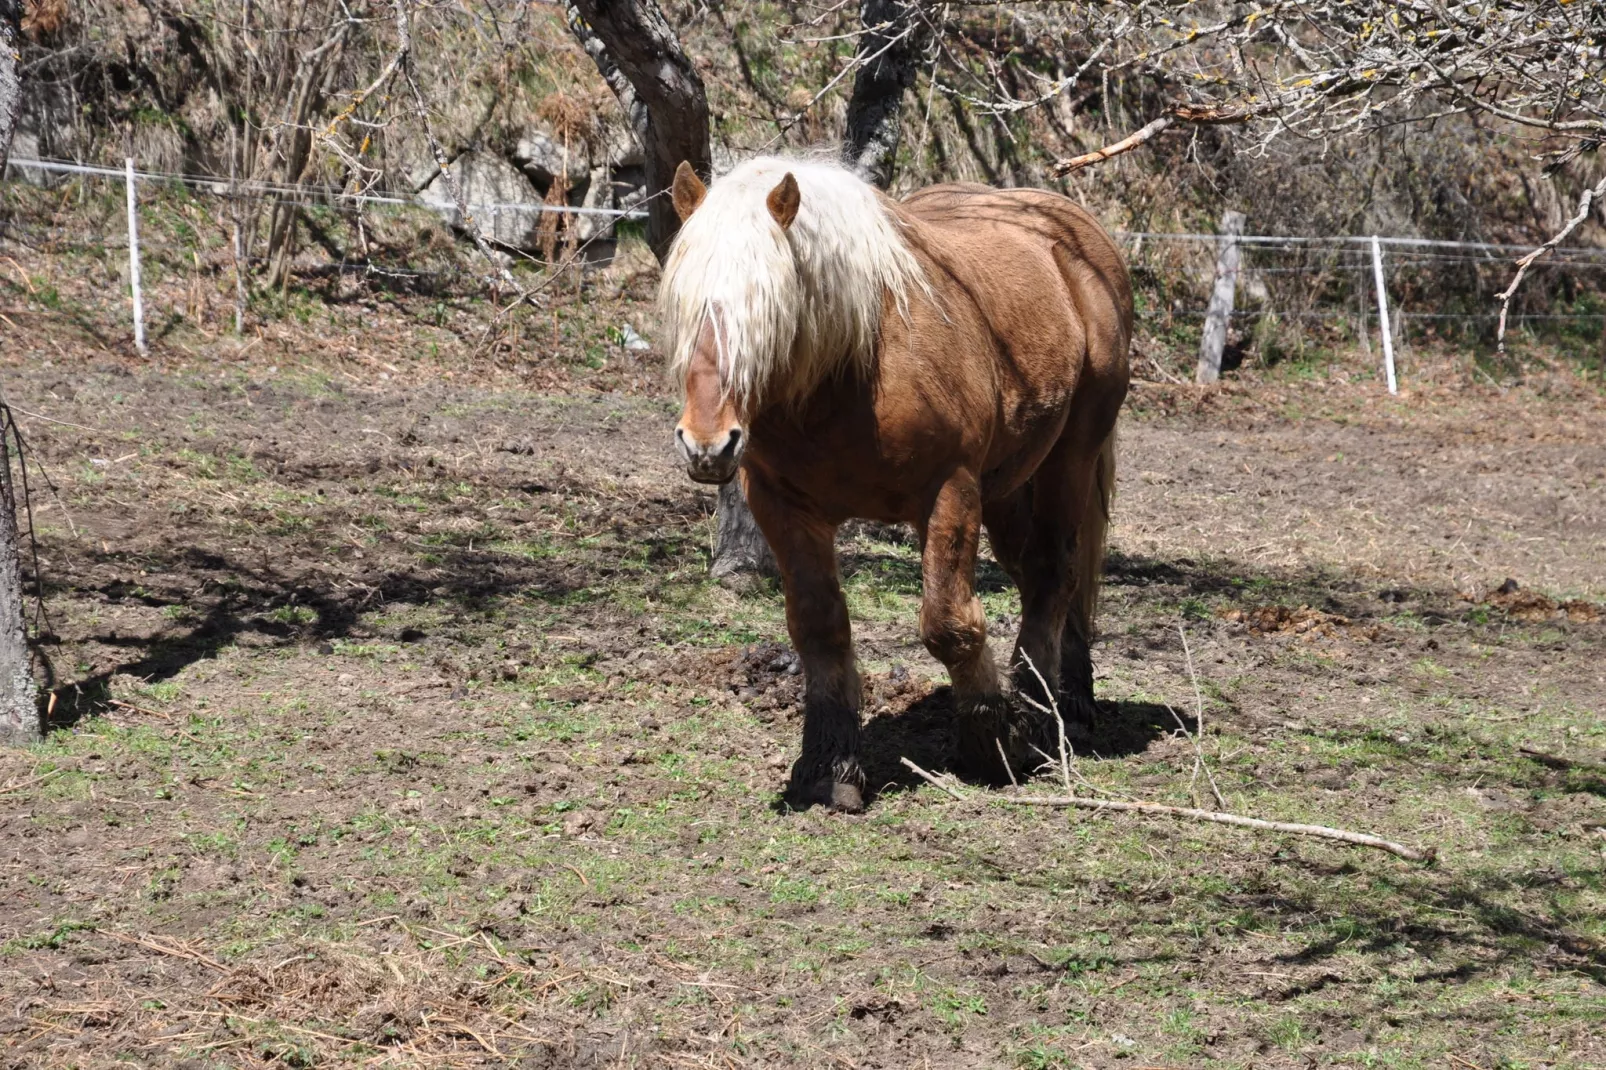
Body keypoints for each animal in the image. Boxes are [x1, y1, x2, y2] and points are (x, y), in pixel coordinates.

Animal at [658, 154, 1137, 809]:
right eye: (684, 310)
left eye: (769, 311)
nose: (707, 445)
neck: (854, 365)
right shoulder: (785, 510)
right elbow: (819, 630)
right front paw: (829, 767)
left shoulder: (950, 492)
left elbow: (949, 625)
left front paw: (990, 743)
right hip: (1010, 486)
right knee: (1042, 576)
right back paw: (1069, 700)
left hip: (1070, 459)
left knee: (1055, 572)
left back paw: (1042, 721)